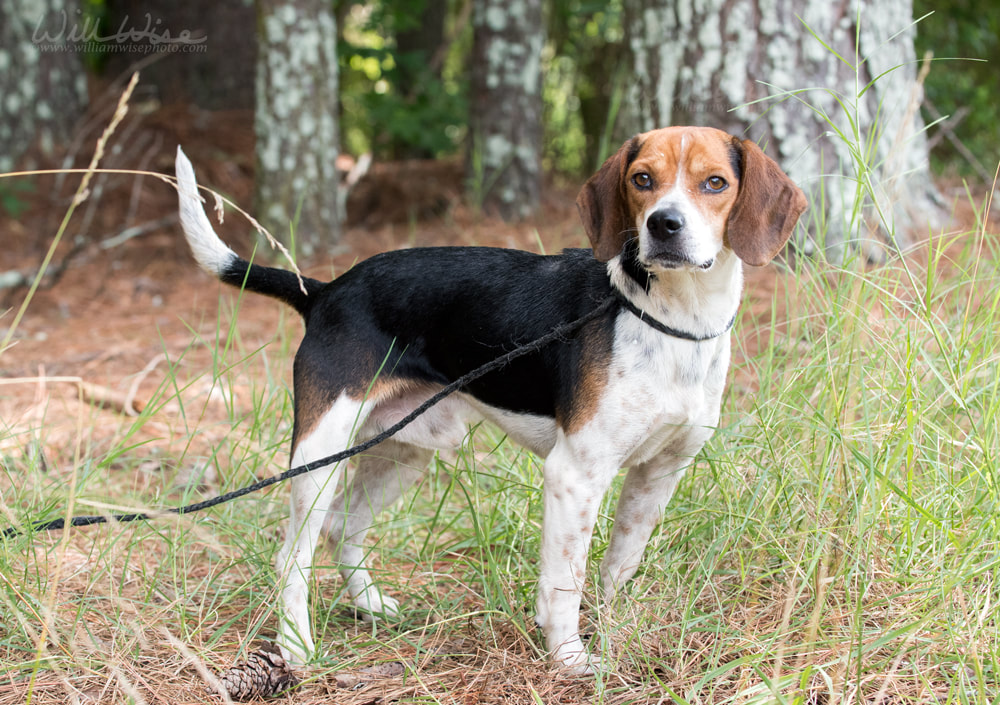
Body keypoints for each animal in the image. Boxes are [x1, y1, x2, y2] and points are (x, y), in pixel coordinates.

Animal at [176, 126, 808, 672]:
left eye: (715, 182)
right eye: (642, 179)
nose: (664, 225)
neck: (672, 317)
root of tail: (327, 290)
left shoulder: (660, 473)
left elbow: (617, 567)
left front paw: (614, 631)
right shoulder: (575, 475)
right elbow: (565, 580)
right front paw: (570, 660)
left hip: (404, 450)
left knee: (342, 529)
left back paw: (372, 606)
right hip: (320, 452)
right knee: (294, 554)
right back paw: (296, 648)